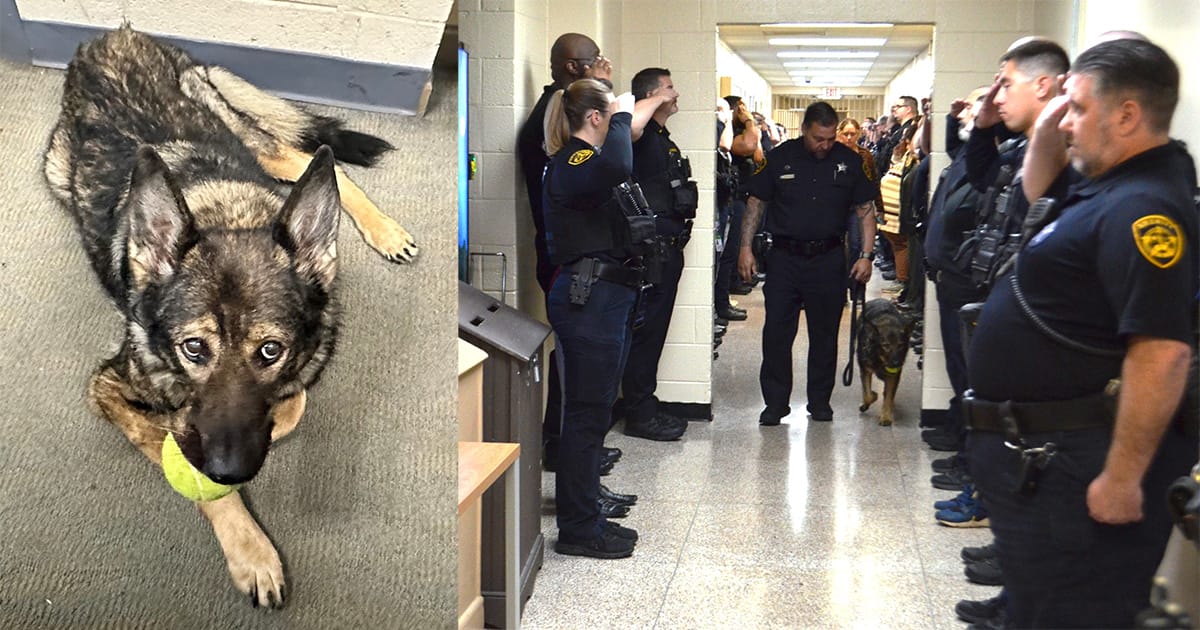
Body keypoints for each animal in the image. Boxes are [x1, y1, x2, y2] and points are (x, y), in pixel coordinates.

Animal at [43, 25, 417, 609]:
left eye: (270, 350)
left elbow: (290, 406)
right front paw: (251, 551)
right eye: (193, 348)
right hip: (59, 170)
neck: (229, 217)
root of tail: (113, 35)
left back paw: (384, 229)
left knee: (312, 160)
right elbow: (180, 453)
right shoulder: (106, 387)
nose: (230, 467)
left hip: (248, 141)